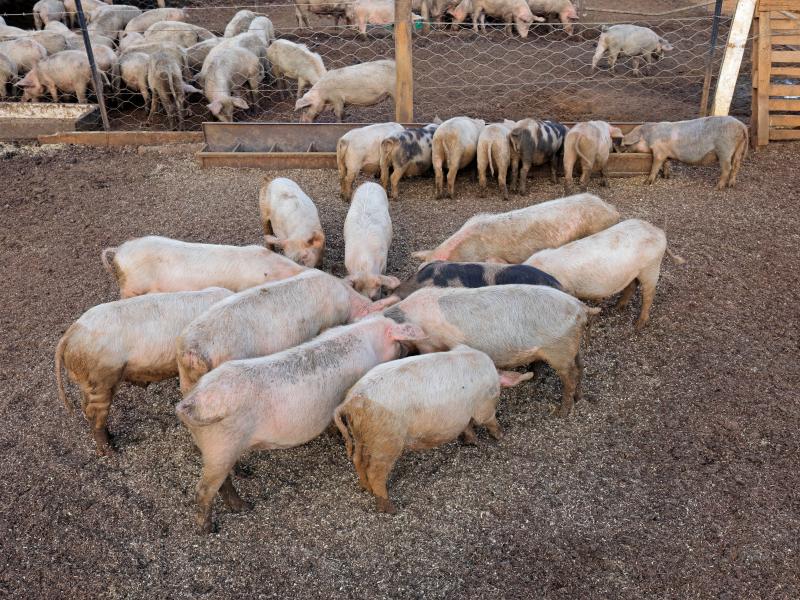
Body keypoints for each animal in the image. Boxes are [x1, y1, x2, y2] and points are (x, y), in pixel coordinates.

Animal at [54, 287, 233, 456]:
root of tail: (69, 335)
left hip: (91, 382)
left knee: (86, 408)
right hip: (100, 378)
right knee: (94, 413)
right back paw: (111, 452)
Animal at [176, 316, 427, 533]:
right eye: (399, 340)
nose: (408, 350)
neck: (369, 340)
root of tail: (190, 402)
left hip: (218, 449)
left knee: (223, 483)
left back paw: (243, 502)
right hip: (221, 446)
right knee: (204, 490)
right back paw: (209, 528)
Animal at [334, 345, 532, 513]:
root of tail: (350, 401)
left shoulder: (464, 413)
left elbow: (467, 425)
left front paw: (472, 442)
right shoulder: (484, 406)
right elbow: (490, 421)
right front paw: (501, 435)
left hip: (361, 435)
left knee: (357, 460)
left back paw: (365, 488)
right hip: (386, 440)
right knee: (375, 472)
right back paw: (390, 509)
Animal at [384, 285, 598, 416]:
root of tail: (581, 307)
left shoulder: (430, 345)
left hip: (559, 350)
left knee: (570, 377)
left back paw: (561, 412)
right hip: (572, 346)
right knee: (580, 367)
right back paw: (579, 398)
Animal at [525, 219, 685, 329]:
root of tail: (658, 230)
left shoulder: (567, 289)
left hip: (651, 267)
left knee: (649, 294)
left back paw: (638, 325)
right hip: (633, 271)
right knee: (631, 286)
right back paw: (617, 307)